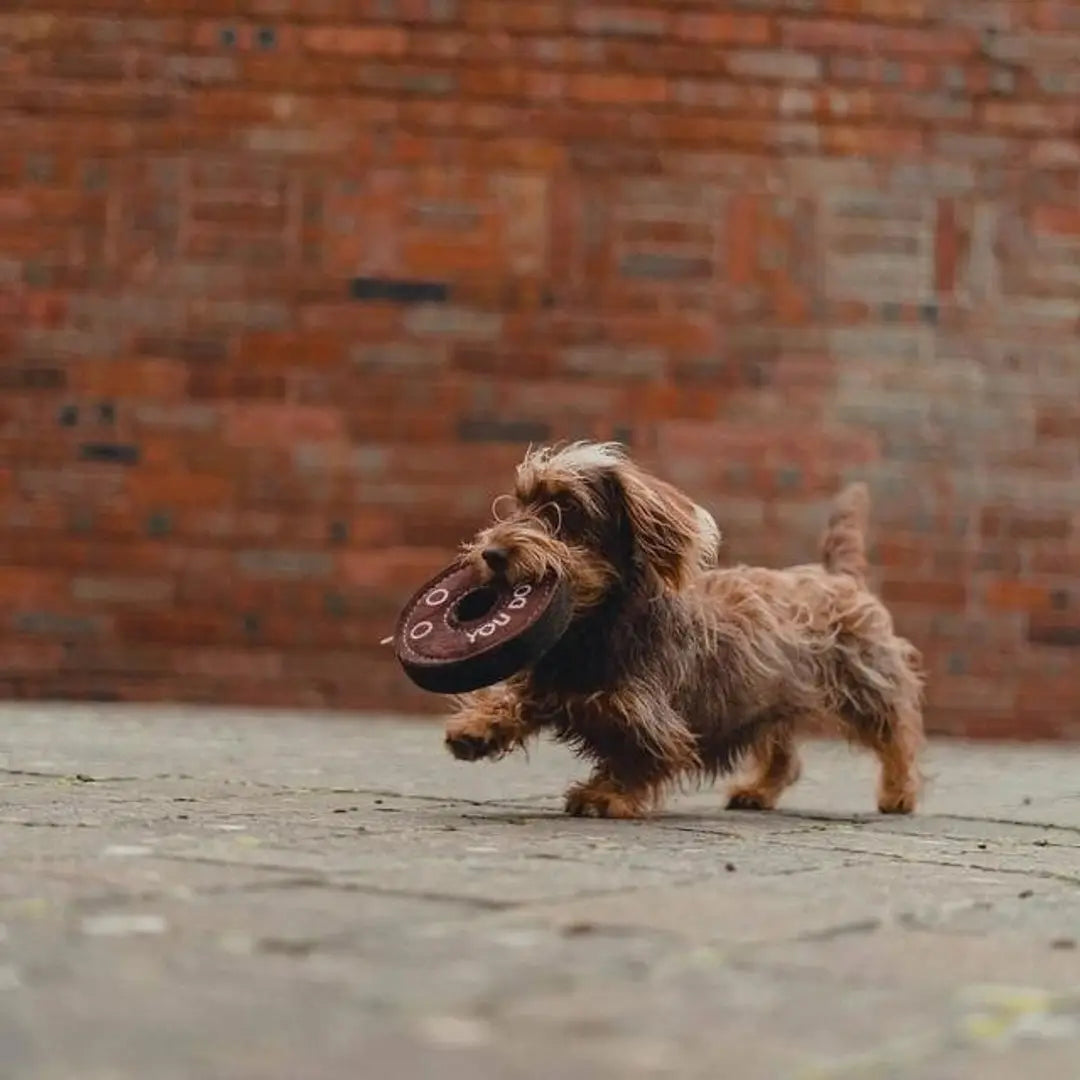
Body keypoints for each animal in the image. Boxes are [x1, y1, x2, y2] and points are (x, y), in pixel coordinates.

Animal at [442, 438, 924, 816]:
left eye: (565, 507)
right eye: (520, 502)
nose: (491, 554)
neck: (593, 628)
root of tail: (837, 575)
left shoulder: (650, 719)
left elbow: (638, 758)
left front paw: (603, 795)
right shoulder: (551, 681)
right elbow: (514, 698)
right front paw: (477, 728)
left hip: (866, 684)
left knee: (896, 733)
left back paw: (899, 792)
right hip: (770, 701)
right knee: (784, 755)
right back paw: (757, 790)